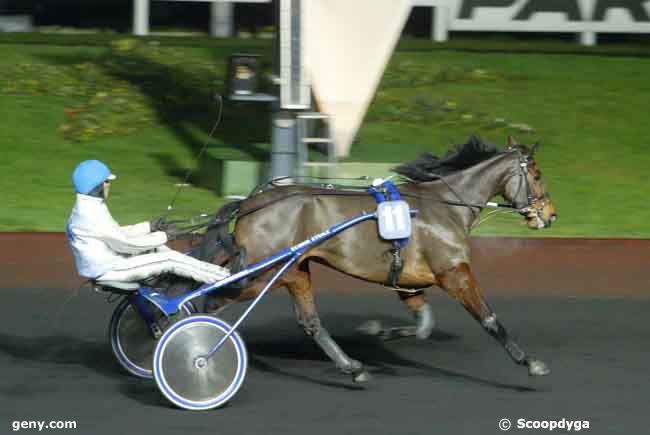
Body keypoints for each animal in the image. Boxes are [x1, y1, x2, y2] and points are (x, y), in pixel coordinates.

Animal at [205, 135, 556, 382]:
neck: (444, 207)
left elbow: (425, 325)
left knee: (311, 322)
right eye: (537, 174)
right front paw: (531, 362)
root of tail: (249, 203)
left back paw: (353, 366)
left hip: (293, 271)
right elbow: (489, 319)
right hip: (260, 274)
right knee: (210, 302)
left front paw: (378, 332)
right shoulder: (454, 273)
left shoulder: (410, 282)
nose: (551, 215)